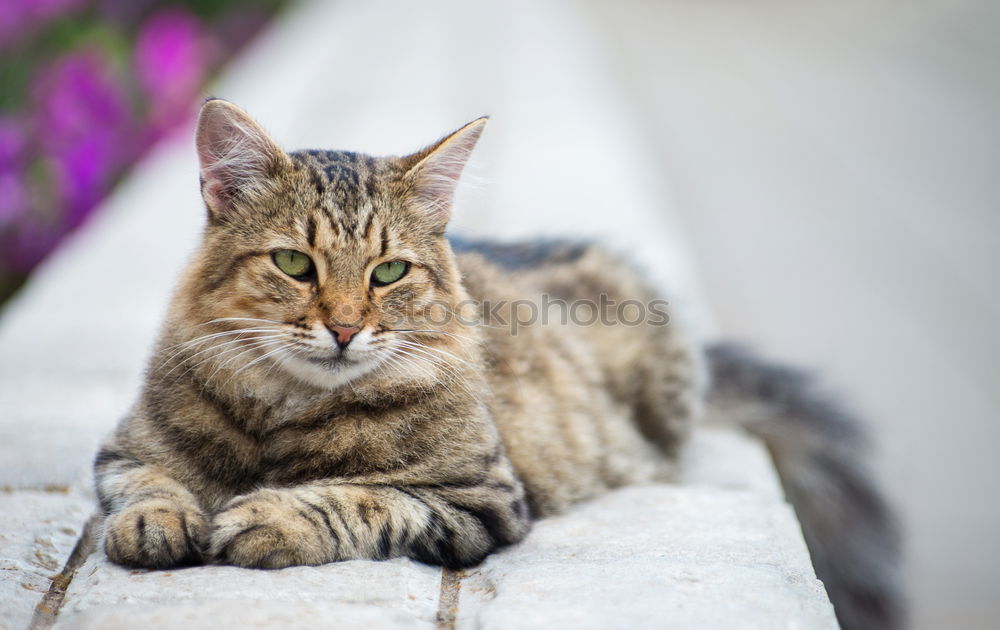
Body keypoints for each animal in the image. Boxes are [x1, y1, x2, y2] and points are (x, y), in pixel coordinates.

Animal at [94, 99, 904, 630]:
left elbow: (359, 500)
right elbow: (148, 484)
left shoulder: (478, 500)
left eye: (389, 273)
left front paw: (269, 517)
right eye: (295, 264)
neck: (287, 411)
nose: (346, 329)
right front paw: (159, 523)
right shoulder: (122, 450)